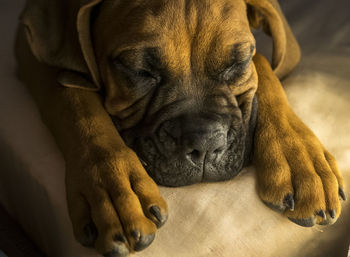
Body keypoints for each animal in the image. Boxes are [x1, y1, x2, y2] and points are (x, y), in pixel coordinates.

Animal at [15, 0, 344, 256]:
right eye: (139, 71)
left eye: (238, 63)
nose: (206, 145)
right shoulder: (31, 48)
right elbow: (73, 98)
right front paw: (111, 186)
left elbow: (263, 67)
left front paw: (300, 158)